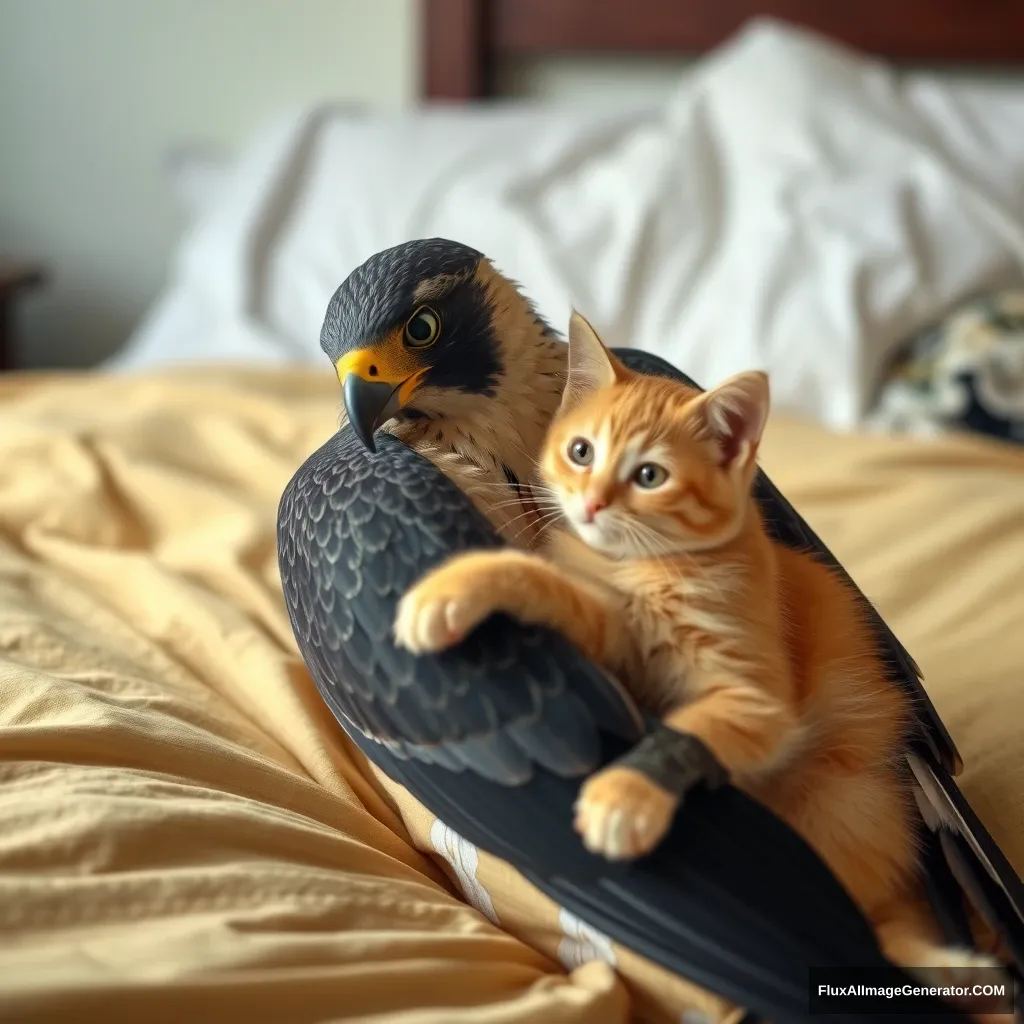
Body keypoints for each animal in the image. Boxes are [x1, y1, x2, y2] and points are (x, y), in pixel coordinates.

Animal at [395, 311, 1003, 983]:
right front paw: (453, 589)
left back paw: (952, 963)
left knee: (874, 932)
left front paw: (623, 799)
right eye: (581, 452)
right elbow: (547, 588)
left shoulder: (756, 702)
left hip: (838, 815)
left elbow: (689, 731)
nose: (592, 502)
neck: (649, 571)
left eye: (649, 475)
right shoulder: (609, 635)